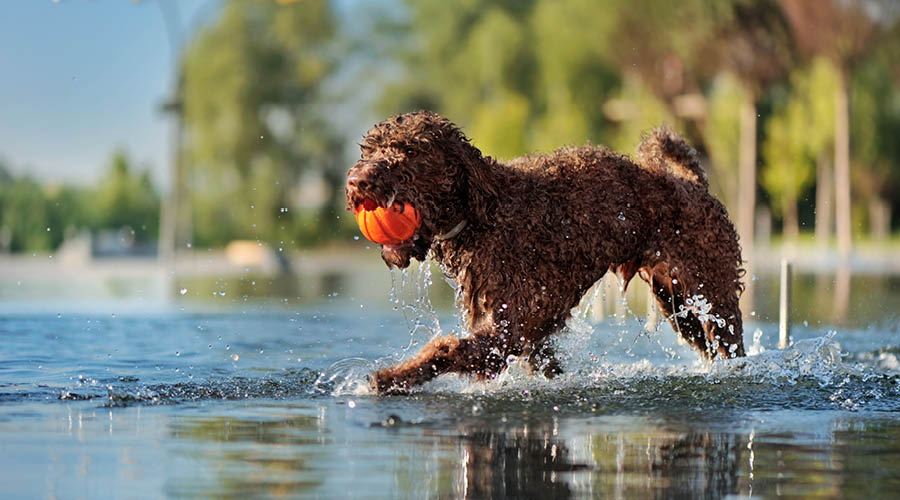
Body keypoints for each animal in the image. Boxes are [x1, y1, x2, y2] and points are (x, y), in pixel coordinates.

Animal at [344, 110, 744, 394]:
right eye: (369, 150)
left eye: (411, 150)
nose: (357, 180)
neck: (484, 213)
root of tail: (692, 184)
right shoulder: (527, 336)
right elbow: (541, 364)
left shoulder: (508, 329)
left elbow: (445, 349)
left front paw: (393, 377)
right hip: (677, 303)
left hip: (712, 296)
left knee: (731, 347)